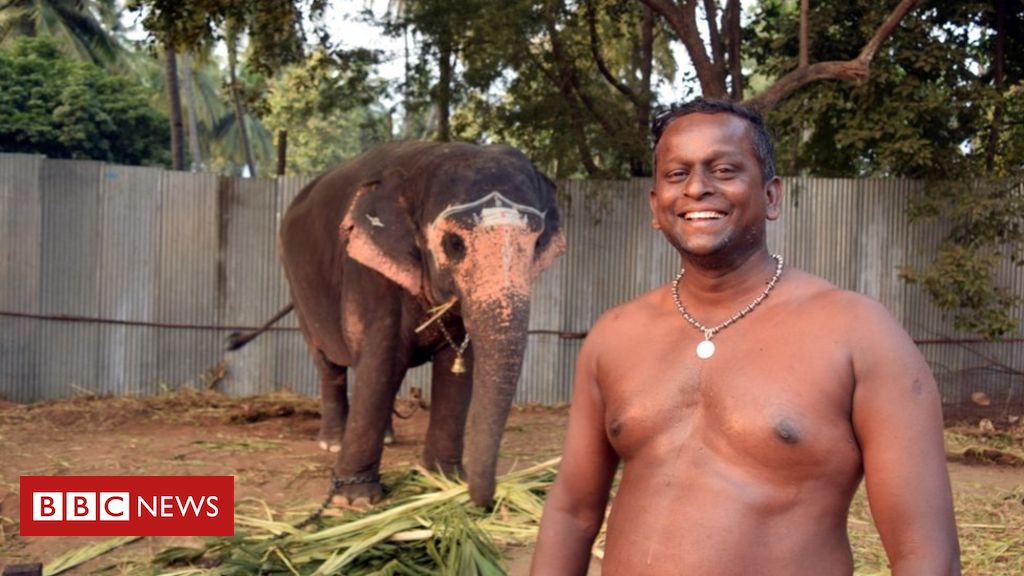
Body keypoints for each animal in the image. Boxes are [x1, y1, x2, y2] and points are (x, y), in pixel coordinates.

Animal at [268, 141, 564, 507]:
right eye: (454, 244)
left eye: (536, 243)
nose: (488, 498)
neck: (425, 162)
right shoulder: (368, 271)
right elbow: (382, 356)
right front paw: (353, 501)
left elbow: (456, 366)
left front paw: (443, 481)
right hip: (298, 286)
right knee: (329, 363)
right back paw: (333, 442)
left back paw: (387, 437)